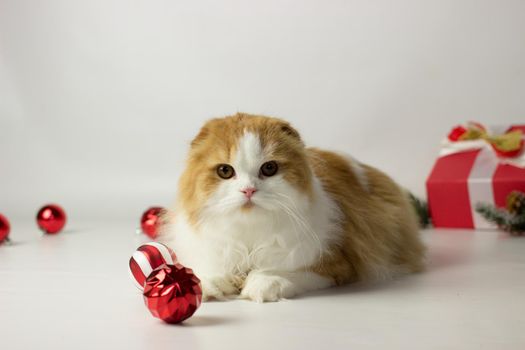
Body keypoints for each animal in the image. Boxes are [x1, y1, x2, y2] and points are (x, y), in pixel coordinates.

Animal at [164, 113, 426, 302]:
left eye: (269, 168)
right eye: (225, 171)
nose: (248, 190)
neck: (250, 233)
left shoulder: (337, 264)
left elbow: (285, 272)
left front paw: (263, 284)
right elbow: (211, 269)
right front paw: (207, 283)